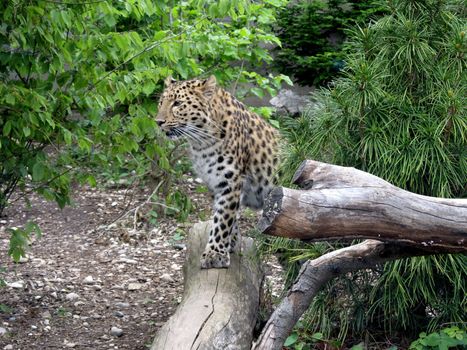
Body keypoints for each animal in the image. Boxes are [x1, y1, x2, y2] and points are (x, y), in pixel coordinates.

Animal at [155, 75, 280, 270]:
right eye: (161, 102)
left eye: (177, 103)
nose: (158, 122)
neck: (200, 143)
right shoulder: (215, 182)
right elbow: (228, 216)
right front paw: (232, 242)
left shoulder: (230, 181)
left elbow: (223, 219)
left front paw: (215, 254)